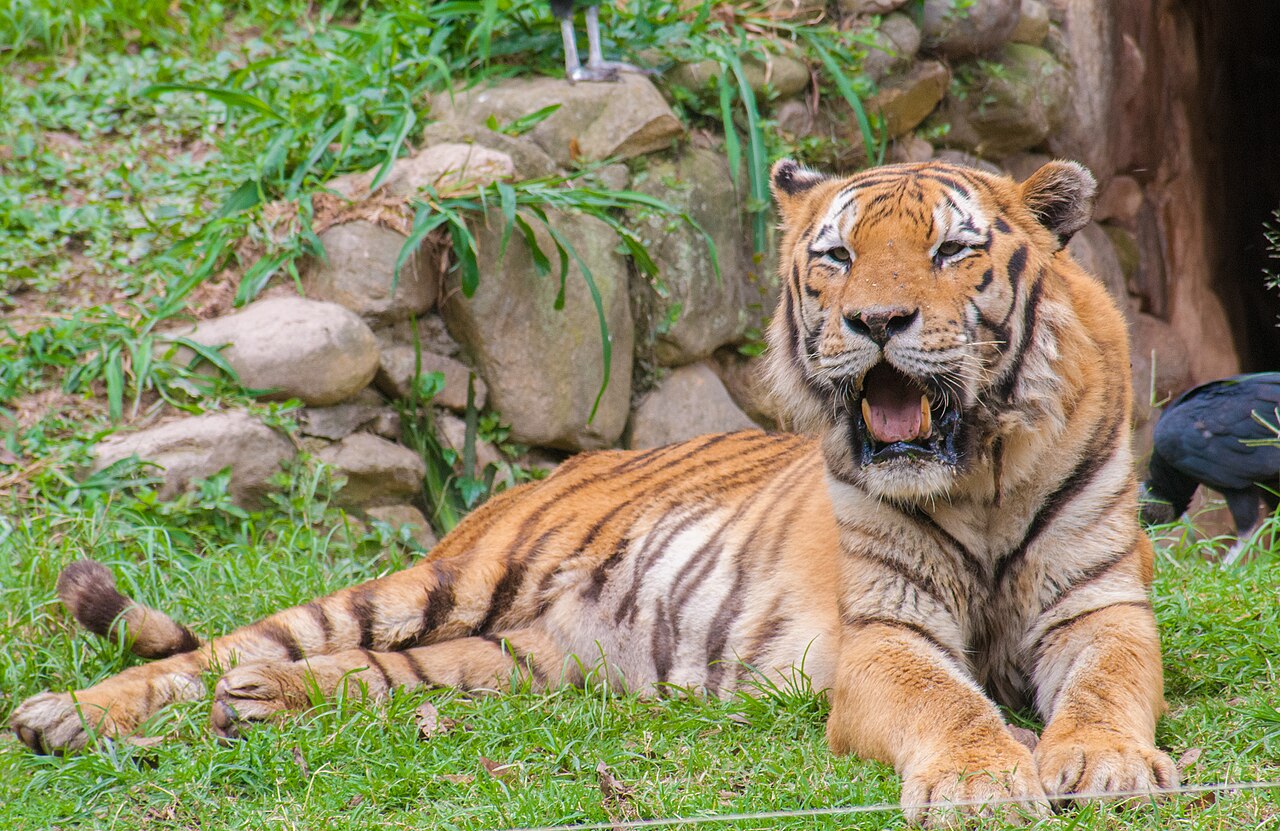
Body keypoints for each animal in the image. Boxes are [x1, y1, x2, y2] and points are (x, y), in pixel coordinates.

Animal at [11, 159, 1178, 827]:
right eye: (838, 257)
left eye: (950, 249)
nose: (875, 323)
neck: (978, 473)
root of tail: (564, 465)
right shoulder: (885, 633)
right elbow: (949, 701)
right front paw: (984, 781)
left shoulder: (1099, 608)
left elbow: (1109, 686)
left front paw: (1103, 763)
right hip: (447, 580)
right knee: (224, 647)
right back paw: (63, 716)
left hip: (523, 661)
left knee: (374, 676)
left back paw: (259, 704)